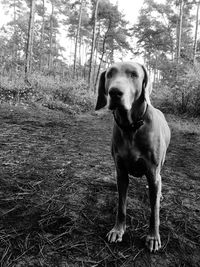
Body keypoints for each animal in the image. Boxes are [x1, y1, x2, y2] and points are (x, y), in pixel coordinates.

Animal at [95, 61, 170, 252]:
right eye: (110, 74)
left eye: (134, 74)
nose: (115, 92)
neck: (131, 128)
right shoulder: (121, 172)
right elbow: (121, 206)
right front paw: (118, 230)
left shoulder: (153, 173)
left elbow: (154, 212)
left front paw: (153, 237)